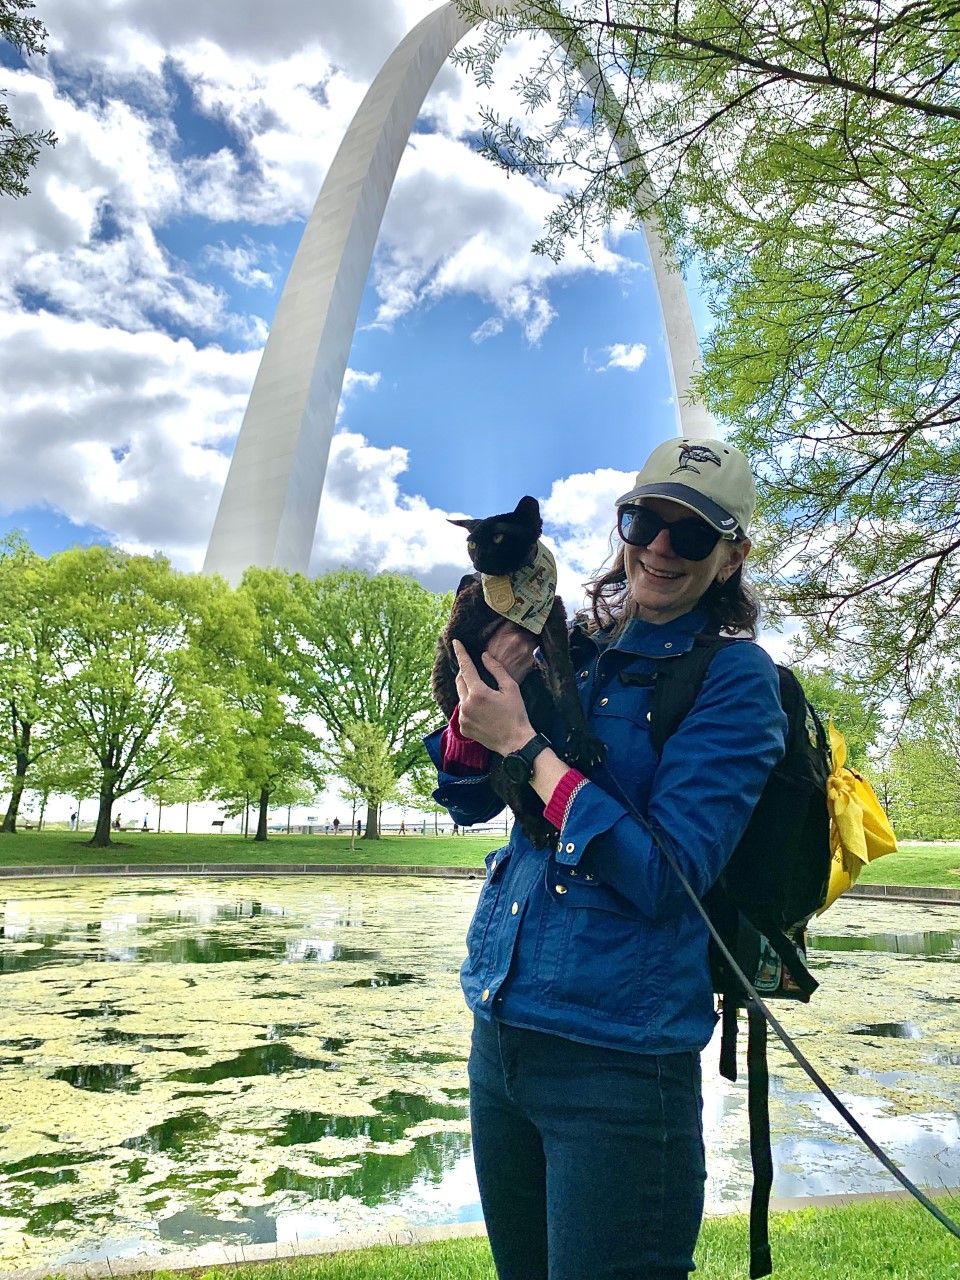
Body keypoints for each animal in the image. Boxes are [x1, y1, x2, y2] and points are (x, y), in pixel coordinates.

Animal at [437, 494, 609, 844]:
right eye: (471, 543)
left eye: (498, 538)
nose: (479, 559)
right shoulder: (456, 639)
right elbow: (482, 678)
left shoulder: (553, 634)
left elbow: (567, 690)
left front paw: (583, 742)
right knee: (510, 789)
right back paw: (539, 827)